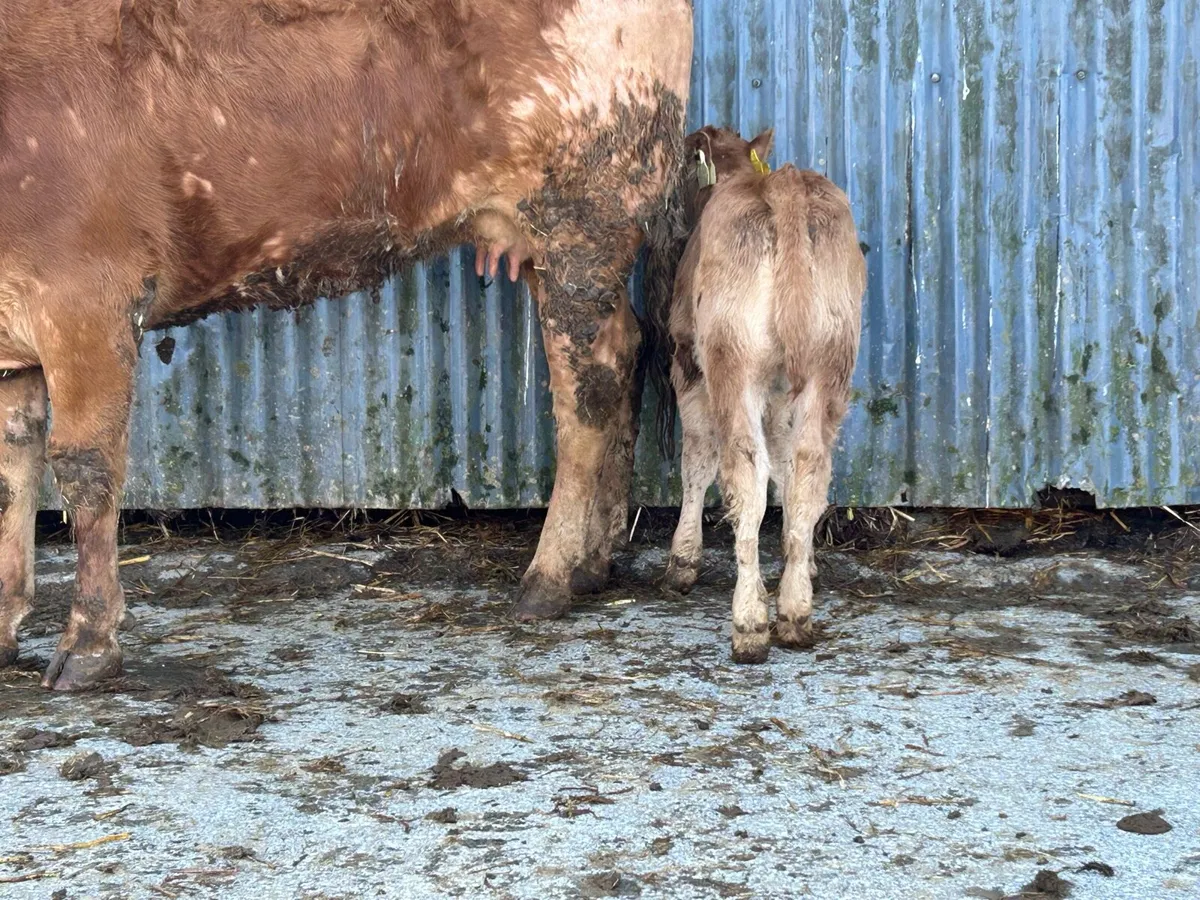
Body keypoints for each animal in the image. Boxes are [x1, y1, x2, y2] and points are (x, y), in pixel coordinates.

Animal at [0, 0, 694, 690]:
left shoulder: (87, 298)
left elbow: (84, 469)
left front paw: (89, 642)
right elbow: (13, 474)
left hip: (582, 221)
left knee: (587, 393)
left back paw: (549, 576)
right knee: (625, 351)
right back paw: (594, 562)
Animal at [651, 126, 865, 664]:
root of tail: (782, 184)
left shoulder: (688, 363)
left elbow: (697, 461)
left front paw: (682, 560)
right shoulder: (782, 393)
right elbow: (787, 468)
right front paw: (804, 562)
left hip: (732, 358)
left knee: (744, 468)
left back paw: (749, 621)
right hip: (828, 359)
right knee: (809, 464)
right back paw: (795, 610)